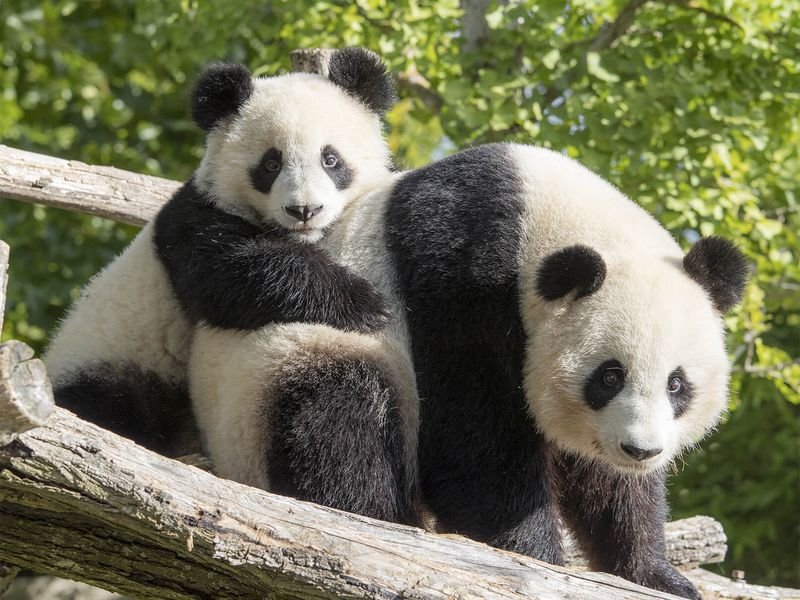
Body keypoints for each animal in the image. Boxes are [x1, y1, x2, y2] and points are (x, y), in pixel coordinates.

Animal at [43, 48, 397, 458]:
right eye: (270, 164)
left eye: (331, 159)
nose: (304, 211)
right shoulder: (194, 222)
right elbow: (232, 272)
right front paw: (366, 302)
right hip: (114, 359)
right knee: (114, 402)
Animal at [189, 142, 748, 599]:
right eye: (609, 377)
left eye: (677, 385)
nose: (642, 450)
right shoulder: (461, 279)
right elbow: (473, 443)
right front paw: (535, 558)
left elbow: (606, 482)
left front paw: (655, 574)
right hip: (273, 369)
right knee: (341, 418)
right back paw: (384, 523)